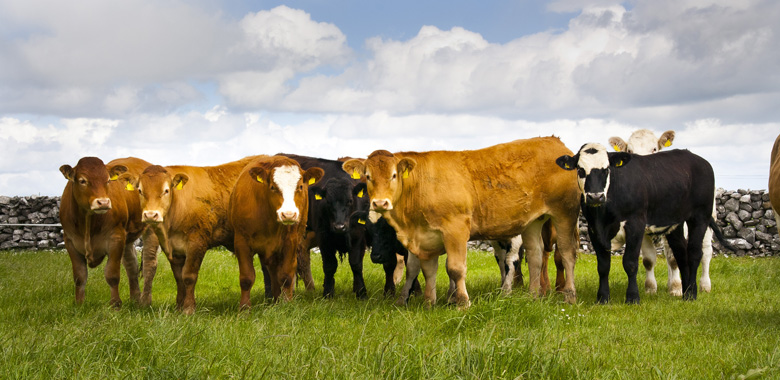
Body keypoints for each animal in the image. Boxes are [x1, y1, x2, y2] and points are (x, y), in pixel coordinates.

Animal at [59, 156, 148, 308]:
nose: (103, 202)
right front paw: (79, 304)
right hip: (128, 240)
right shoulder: (69, 241)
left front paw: (116, 304)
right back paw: (135, 299)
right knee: (131, 266)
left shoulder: (116, 239)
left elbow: (112, 274)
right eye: (82, 180)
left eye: (107, 180)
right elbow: (80, 276)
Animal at [117, 156, 260, 314]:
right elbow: (179, 277)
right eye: (140, 190)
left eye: (166, 190)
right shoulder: (173, 250)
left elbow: (189, 276)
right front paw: (179, 306)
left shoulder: (196, 244)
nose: (150, 215)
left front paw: (189, 308)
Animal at [229, 156, 322, 308]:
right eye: (273, 187)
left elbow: (286, 276)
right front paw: (244, 308)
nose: (288, 214)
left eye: (300, 186)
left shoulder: (290, 242)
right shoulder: (241, 242)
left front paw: (287, 304)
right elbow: (246, 278)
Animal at [344, 137, 580, 308]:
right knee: (535, 255)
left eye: (394, 175)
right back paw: (532, 295)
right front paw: (429, 303)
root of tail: (554, 142)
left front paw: (462, 303)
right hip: (533, 222)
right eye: (368, 176)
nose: (380, 203)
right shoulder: (426, 238)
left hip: (565, 214)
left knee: (566, 253)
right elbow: (427, 270)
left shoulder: (455, 230)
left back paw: (569, 295)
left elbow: (455, 269)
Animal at [556, 142, 732, 302]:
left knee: (695, 253)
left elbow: (630, 262)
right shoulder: (594, 229)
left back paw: (691, 294)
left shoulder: (636, 225)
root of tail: (698, 159)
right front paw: (603, 298)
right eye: (580, 170)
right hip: (675, 223)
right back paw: (684, 290)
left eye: (606, 169)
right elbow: (603, 266)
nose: (595, 196)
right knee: (681, 254)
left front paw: (633, 297)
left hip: (700, 217)